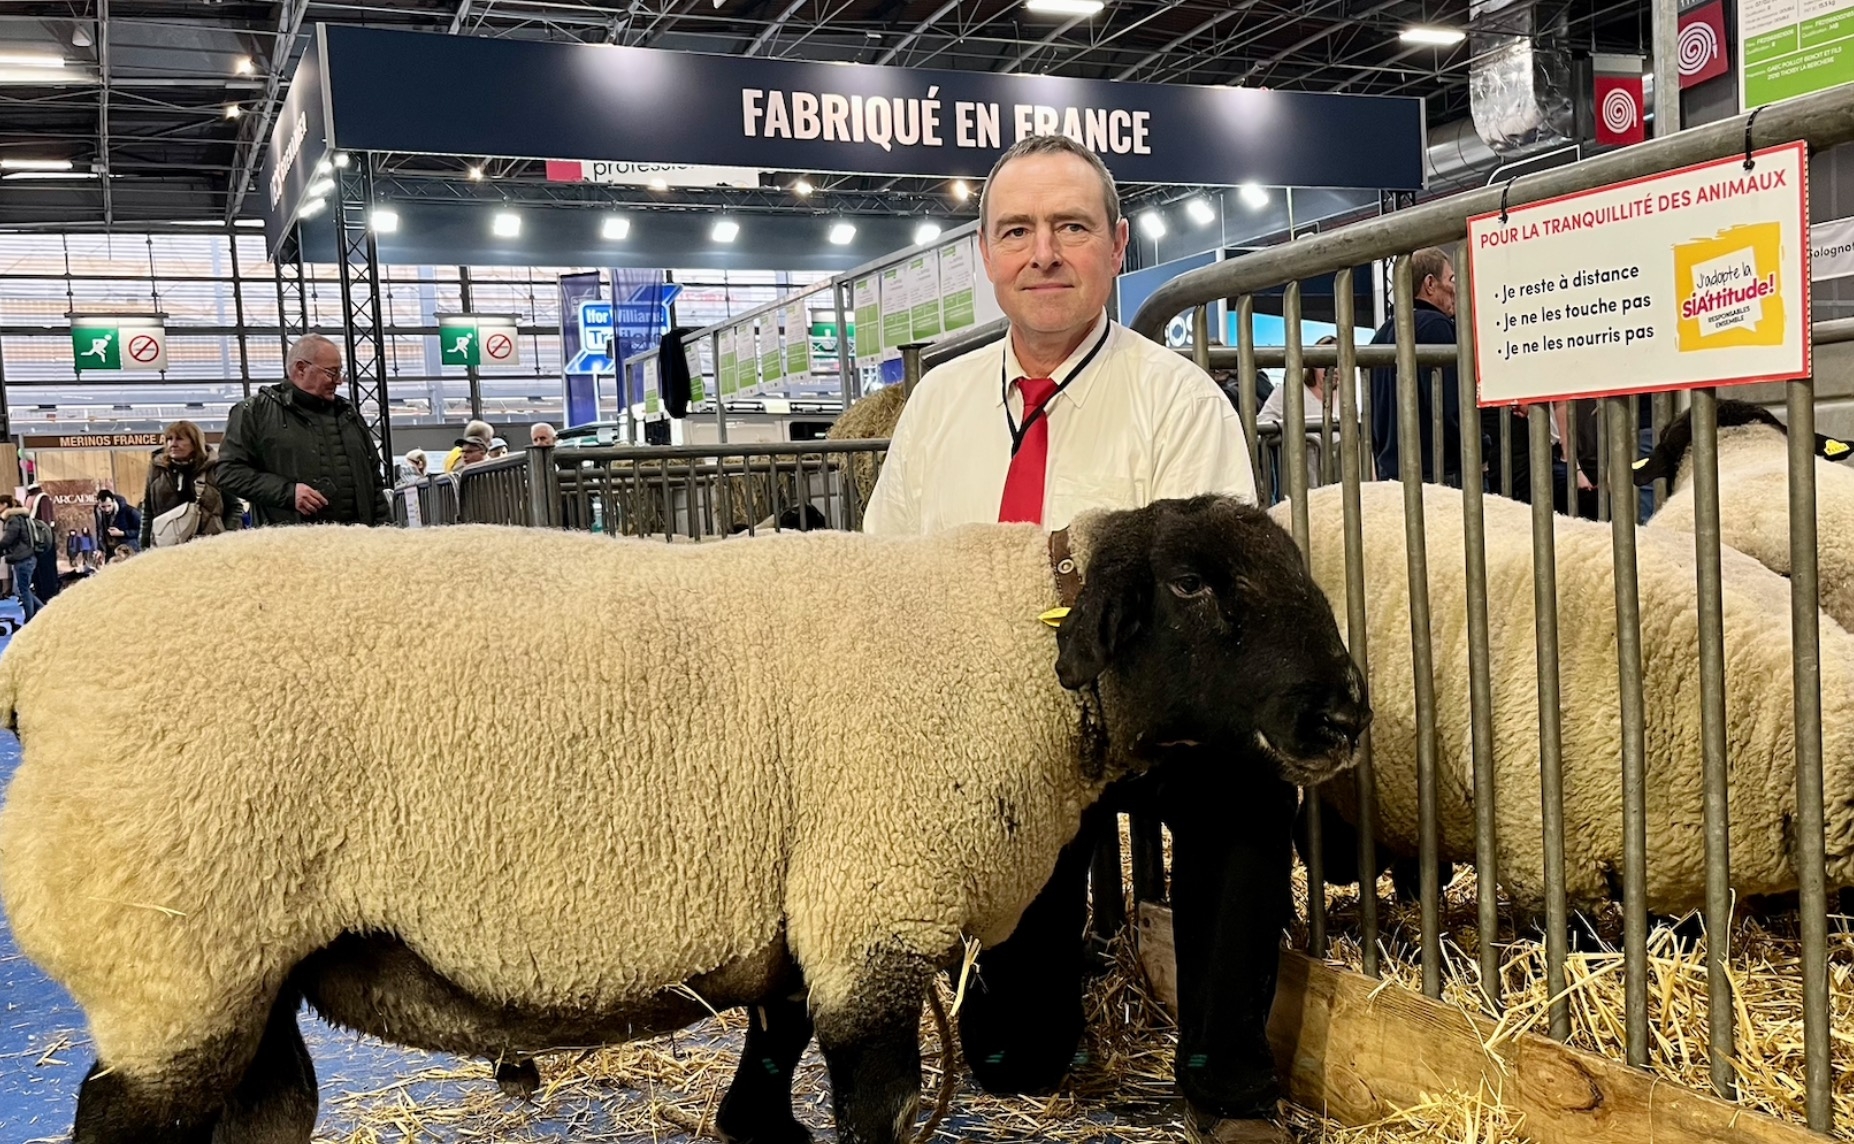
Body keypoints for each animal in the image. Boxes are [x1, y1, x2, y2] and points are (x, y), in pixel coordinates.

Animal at [0, 496, 1364, 1142]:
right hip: (173, 953)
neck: (1017, 657)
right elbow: (873, 1097)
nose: (1346, 713)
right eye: (1191, 584)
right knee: (115, 1116)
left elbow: (775, 1031)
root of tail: (33, 659)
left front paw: (751, 1126)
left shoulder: (806, 905)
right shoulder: (872, 905)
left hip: (239, 969)